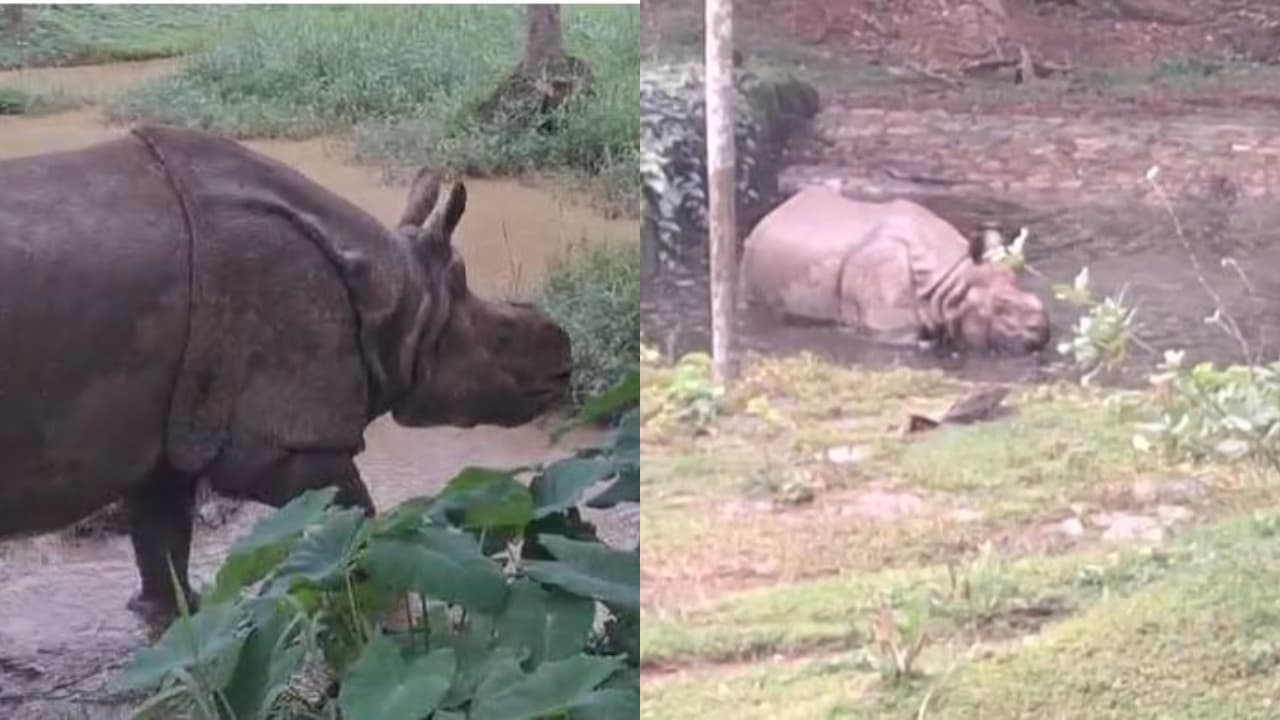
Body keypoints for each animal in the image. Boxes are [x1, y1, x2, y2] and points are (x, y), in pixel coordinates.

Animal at [0, 125, 572, 624]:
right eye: (502, 337)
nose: (564, 360)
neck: (396, 299)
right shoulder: (289, 439)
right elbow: (356, 527)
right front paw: (387, 614)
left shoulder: (172, 428)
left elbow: (162, 539)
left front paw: (175, 619)